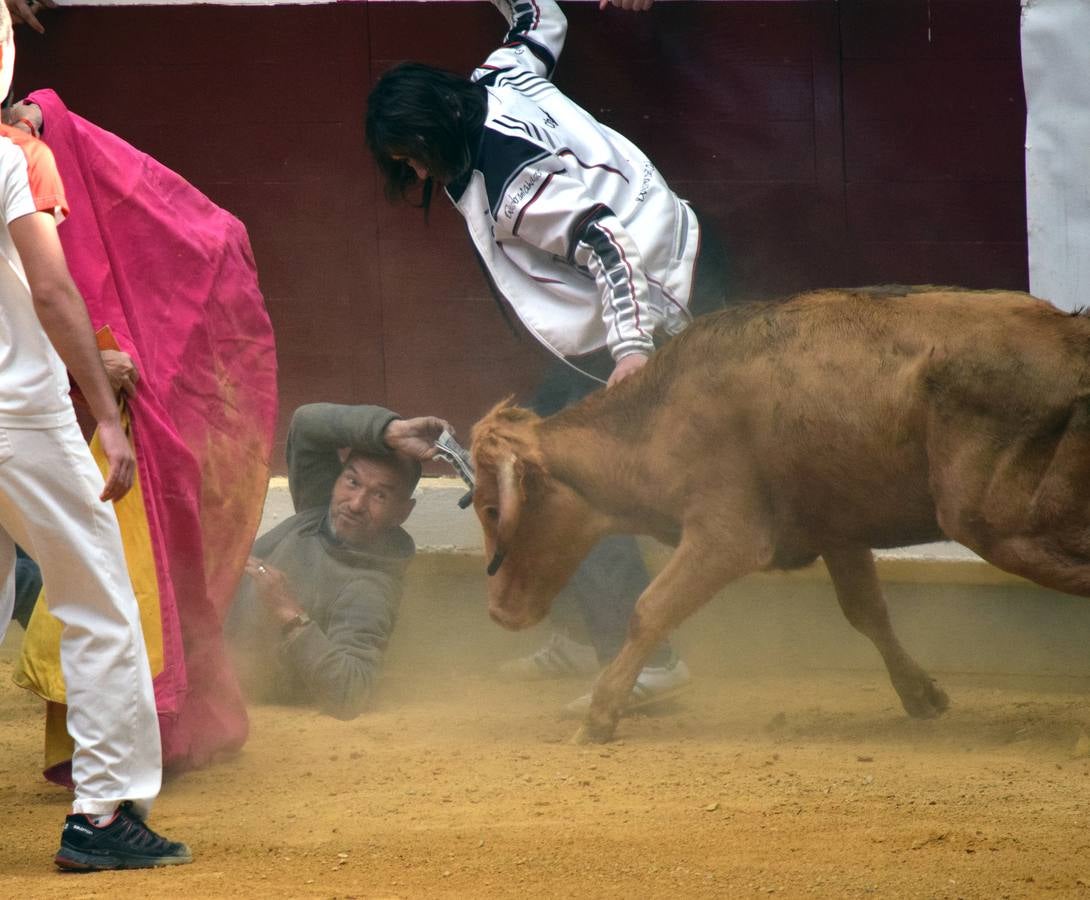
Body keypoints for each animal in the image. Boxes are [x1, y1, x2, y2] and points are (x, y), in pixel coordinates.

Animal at [473, 289, 1090, 745]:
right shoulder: (839, 530)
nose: (498, 612)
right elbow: (867, 612)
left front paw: (599, 717)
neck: (658, 422)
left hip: (1001, 526)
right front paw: (921, 695)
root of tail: (1073, 346)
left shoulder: (725, 536)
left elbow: (650, 609)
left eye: (492, 507)